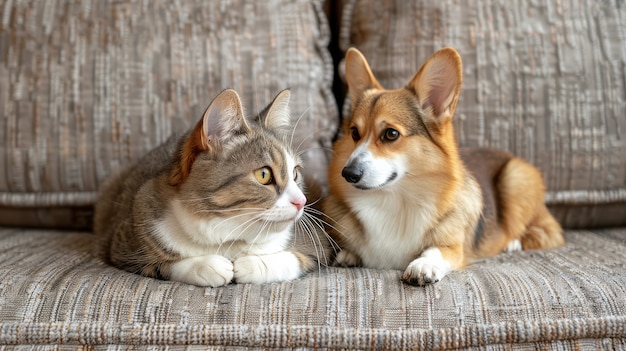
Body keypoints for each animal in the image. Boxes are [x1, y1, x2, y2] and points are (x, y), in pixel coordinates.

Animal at [92, 89, 332, 288]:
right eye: (264, 175)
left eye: (295, 173)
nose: (301, 202)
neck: (228, 237)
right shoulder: (126, 243)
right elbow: (163, 264)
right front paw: (205, 266)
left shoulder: (316, 243)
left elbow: (296, 258)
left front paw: (252, 264)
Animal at [324, 46, 564, 286]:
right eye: (355, 133)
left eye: (391, 134)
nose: (348, 173)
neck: (396, 200)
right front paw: (348, 254)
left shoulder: (453, 247)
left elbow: (436, 250)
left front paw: (423, 264)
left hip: (515, 178)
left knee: (545, 232)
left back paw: (512, 243)